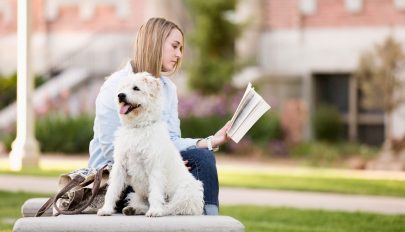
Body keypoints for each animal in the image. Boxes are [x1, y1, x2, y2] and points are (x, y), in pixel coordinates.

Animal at [96, 72, 204, 218]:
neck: (138, 127)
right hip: (136, 194)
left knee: (173, 207)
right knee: (143, 203)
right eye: (122, 88)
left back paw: (158, 210)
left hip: (187, 193)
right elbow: (112, 190)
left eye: (136, 88)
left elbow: (156, 193)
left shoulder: (155, 166)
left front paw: (155, 210)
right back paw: (133, 209)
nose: (120, 95)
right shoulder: (120, 166)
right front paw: (106, 209)